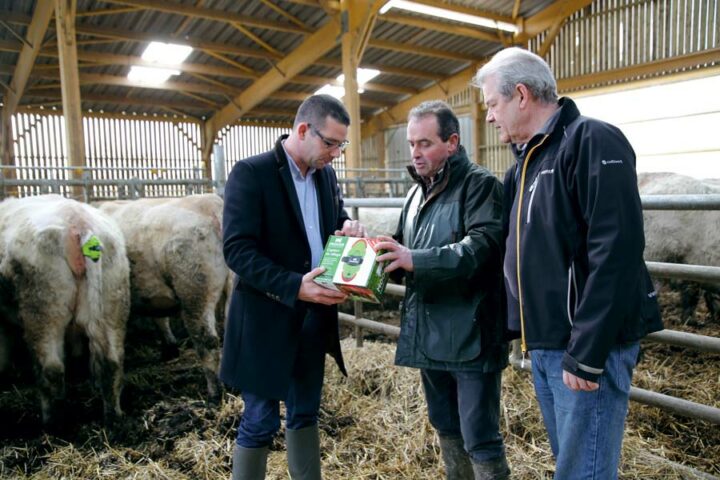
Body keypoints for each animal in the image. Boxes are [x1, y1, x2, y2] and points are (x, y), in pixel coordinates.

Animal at [0, 193, 129, 426]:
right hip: (112, 299)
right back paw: (113, 417)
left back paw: (52, 421)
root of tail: (79, 223)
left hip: (42, 308)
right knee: (112, 361)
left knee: (51, 368)